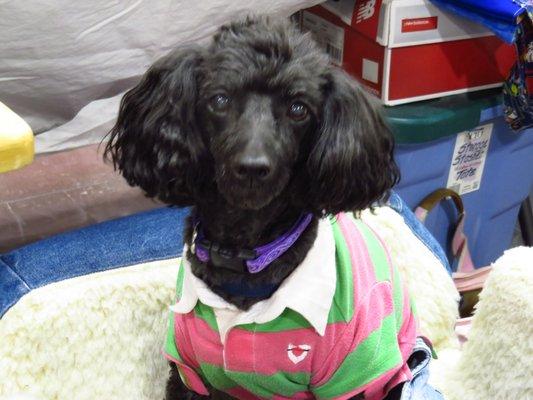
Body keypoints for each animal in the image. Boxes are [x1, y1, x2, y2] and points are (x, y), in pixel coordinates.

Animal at [104, 14, 436, 400]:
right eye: (220, 99)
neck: (243, 252)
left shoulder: (351, 377)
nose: (252, 167)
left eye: (298, 109)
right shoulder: (188, 372)